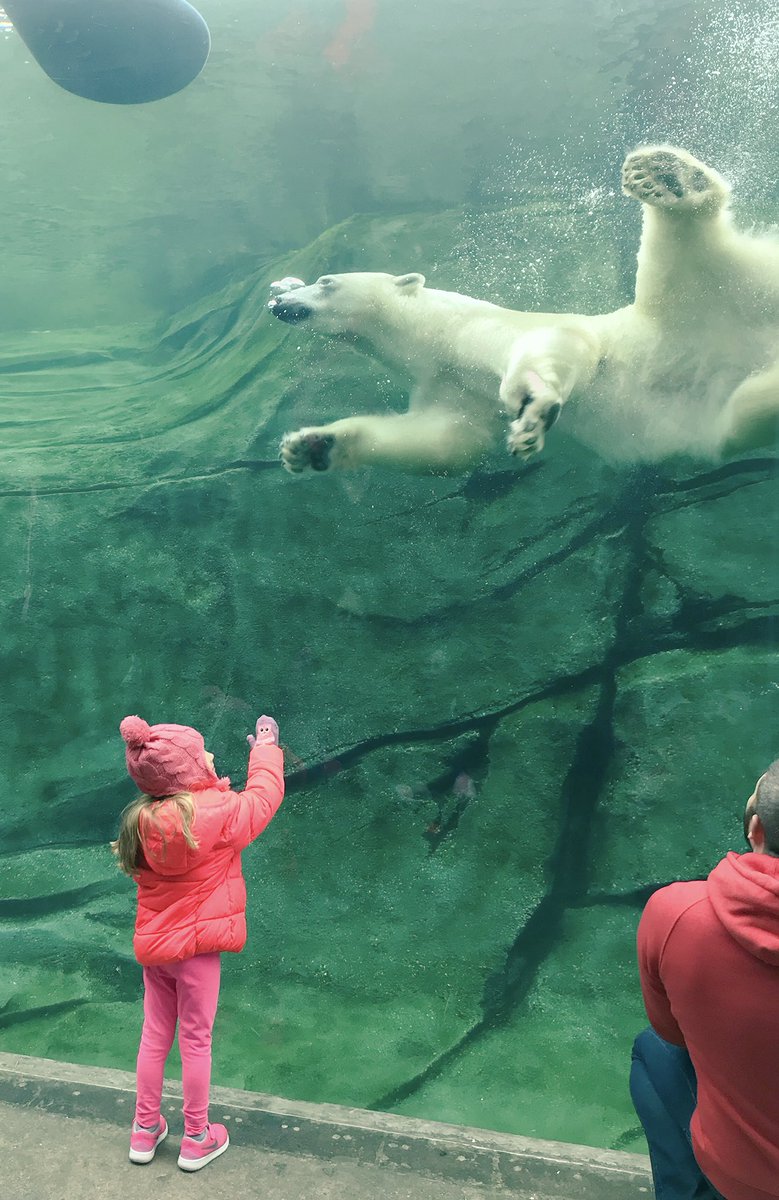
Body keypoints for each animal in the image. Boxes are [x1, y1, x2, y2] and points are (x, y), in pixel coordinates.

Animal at [268, 146, 779, 476]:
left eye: (325, 281)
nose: (279, 301)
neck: (434, 336)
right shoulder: (450, 386)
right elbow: (445, 443)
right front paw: (310, 447)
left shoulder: (477, 329)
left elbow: (555, 344)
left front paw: (531, 413)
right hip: (719, 412)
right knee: (749, 409)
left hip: (700, 298)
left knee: (682, 253)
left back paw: (668, 178)